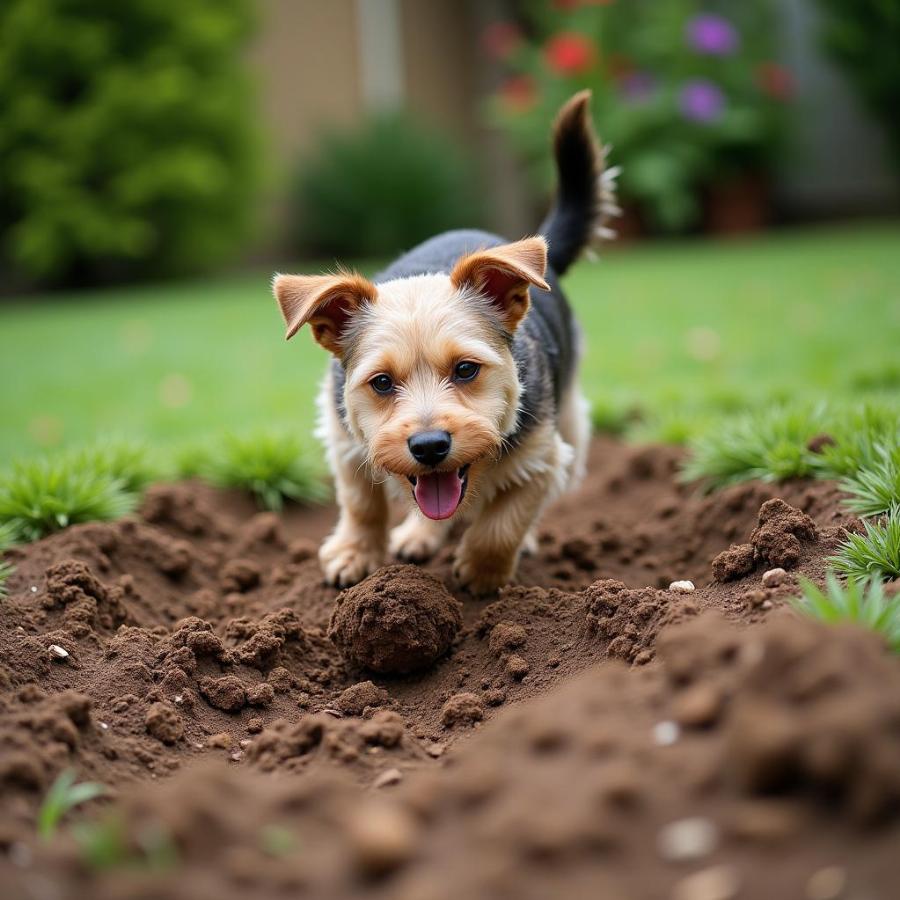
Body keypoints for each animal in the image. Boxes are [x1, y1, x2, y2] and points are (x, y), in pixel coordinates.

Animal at [270, 91, 616, 596]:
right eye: (381, 382)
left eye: (466, 369)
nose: (430, 446)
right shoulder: (343, 439)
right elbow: (361, 503)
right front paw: (355, 553)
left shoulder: (544, 454)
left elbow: (505, 521)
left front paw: (482, 572)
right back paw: (418, 534)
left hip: (571, 418)